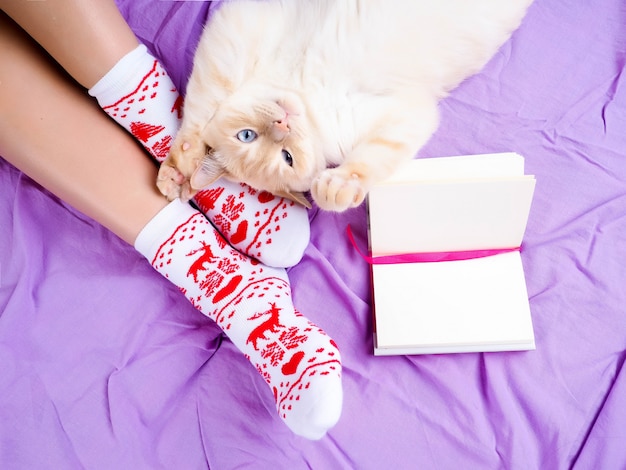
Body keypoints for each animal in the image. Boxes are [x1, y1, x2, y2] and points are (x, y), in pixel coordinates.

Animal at [156, 0, 532, 212]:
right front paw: (339, 190)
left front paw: (177, 171)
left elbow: (198, 111)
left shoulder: (236, 29)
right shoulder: (405, 115)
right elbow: (374, 158)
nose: (283, 126)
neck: (305, 94)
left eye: (245, 135)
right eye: (286, 157)